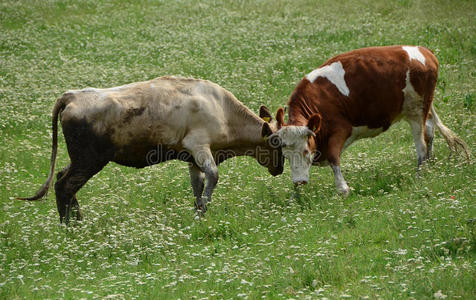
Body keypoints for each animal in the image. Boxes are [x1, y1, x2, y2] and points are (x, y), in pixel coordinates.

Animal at [19, 77, 282, 223]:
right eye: (276, 143)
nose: (279, 169)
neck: (222, 109)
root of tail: (71, 96)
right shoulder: (199, 146)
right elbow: (213, 176)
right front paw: (202, 212)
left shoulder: (192, 158)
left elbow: (197, 184)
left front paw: (197, 211)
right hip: (88, 160)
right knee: (64, 186)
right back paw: (70, 227)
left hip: (79, 160)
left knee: (62, 178)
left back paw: (78, 221)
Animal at [270, 44, 470, 195]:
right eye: (285, 155)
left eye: (305, 151)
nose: (299, 182)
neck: (319, 101)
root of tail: (424, 51)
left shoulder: (340, 130)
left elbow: (334, 159)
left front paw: (343, 189)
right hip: (421, 109)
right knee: (429, 131)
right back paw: (431, 163)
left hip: (416, 112)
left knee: (421, 144)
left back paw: (420, 174)